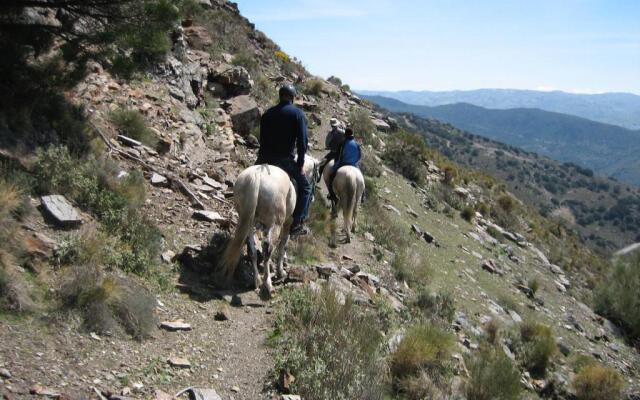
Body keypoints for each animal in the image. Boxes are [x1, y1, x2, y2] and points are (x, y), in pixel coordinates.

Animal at [220, 163, 296, 296]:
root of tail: (257, 175)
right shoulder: (287, 223)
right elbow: (283, 245)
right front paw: (281, 271)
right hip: (275, 224)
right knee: (268, 250)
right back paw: (268, 284)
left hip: (249, 221)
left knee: (252, 250)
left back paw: (256, 280)